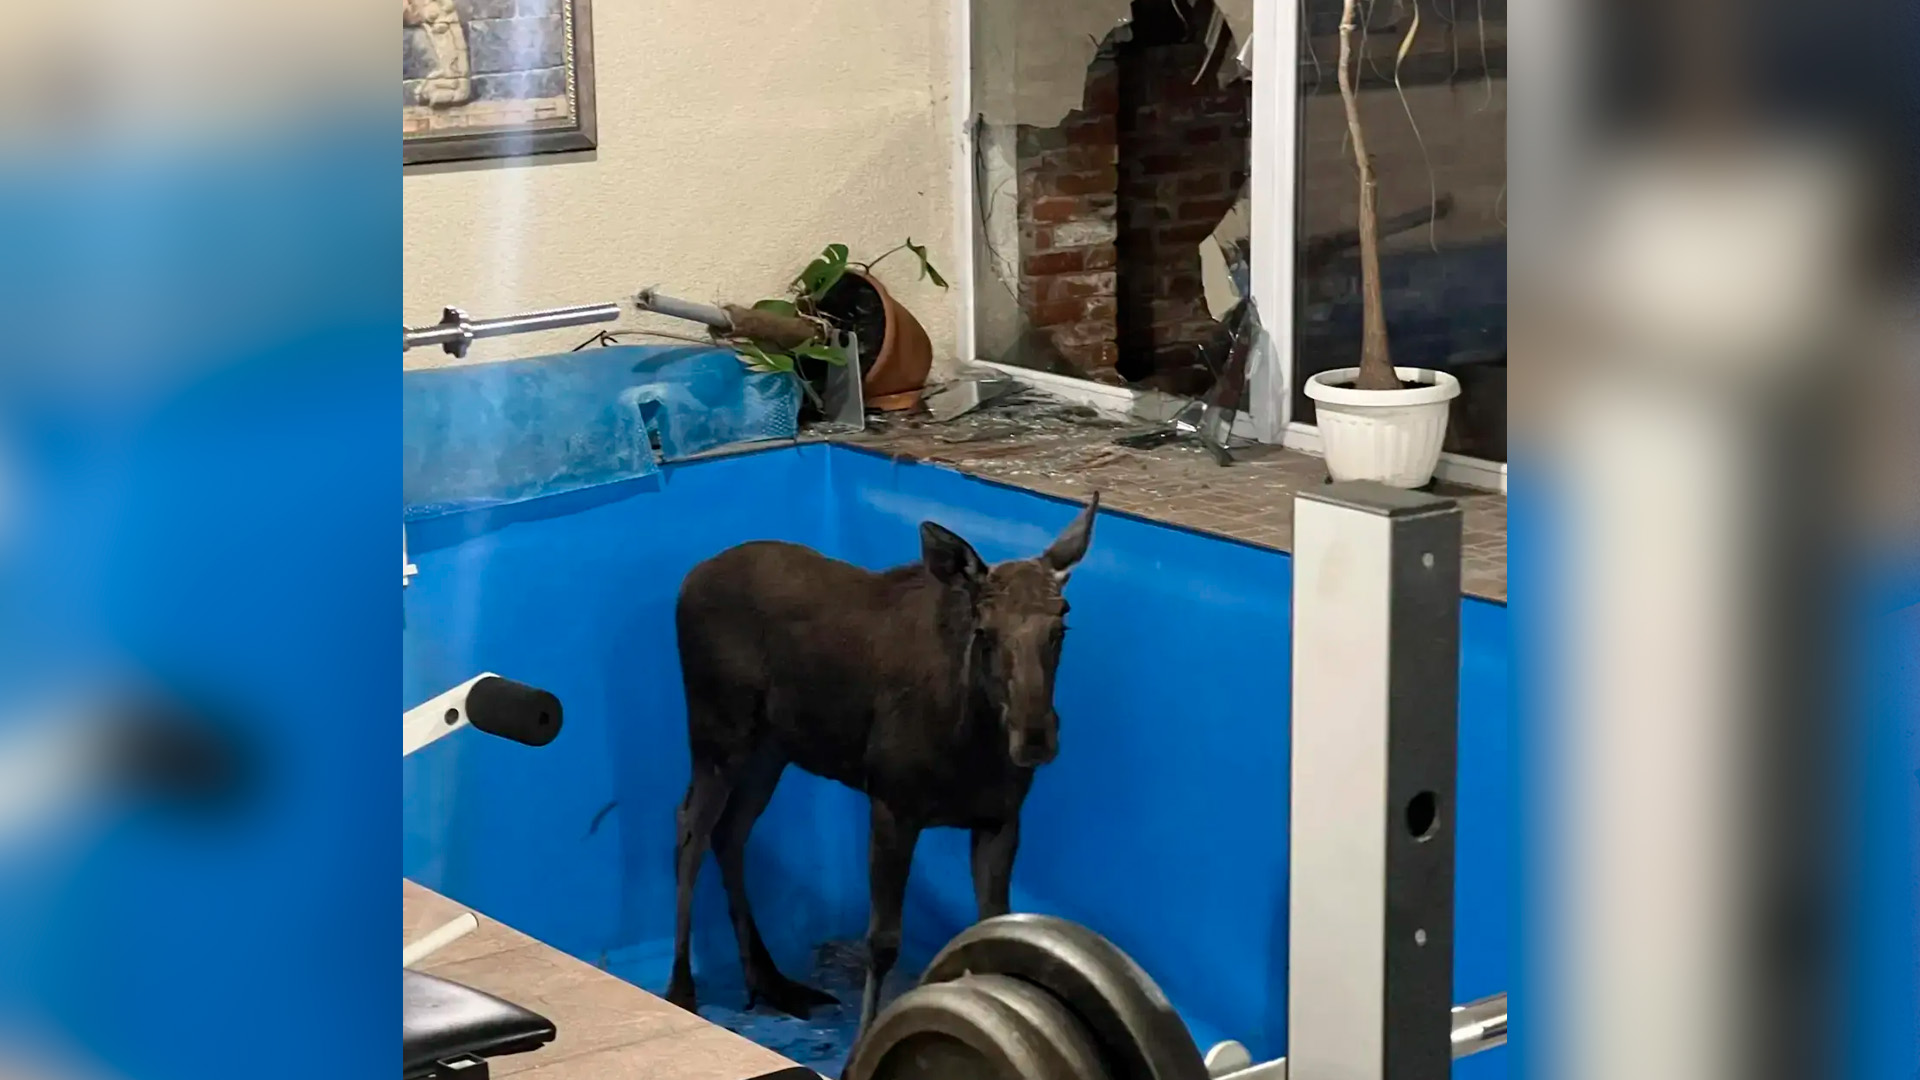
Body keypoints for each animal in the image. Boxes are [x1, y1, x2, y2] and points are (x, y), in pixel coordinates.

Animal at [665, 495, 1099, 1035]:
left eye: (1061, 623)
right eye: (984, 629)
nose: (1035, 737)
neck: (971, 743)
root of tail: (688, 581)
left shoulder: (1001, 818)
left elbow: (989, 924)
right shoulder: (892, 803)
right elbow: (883, 942)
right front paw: (862, 1041)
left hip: (772, 748)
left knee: (730, 832)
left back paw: (771, 981)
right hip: (717, 732)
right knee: (690, 829)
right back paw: (681, 988)